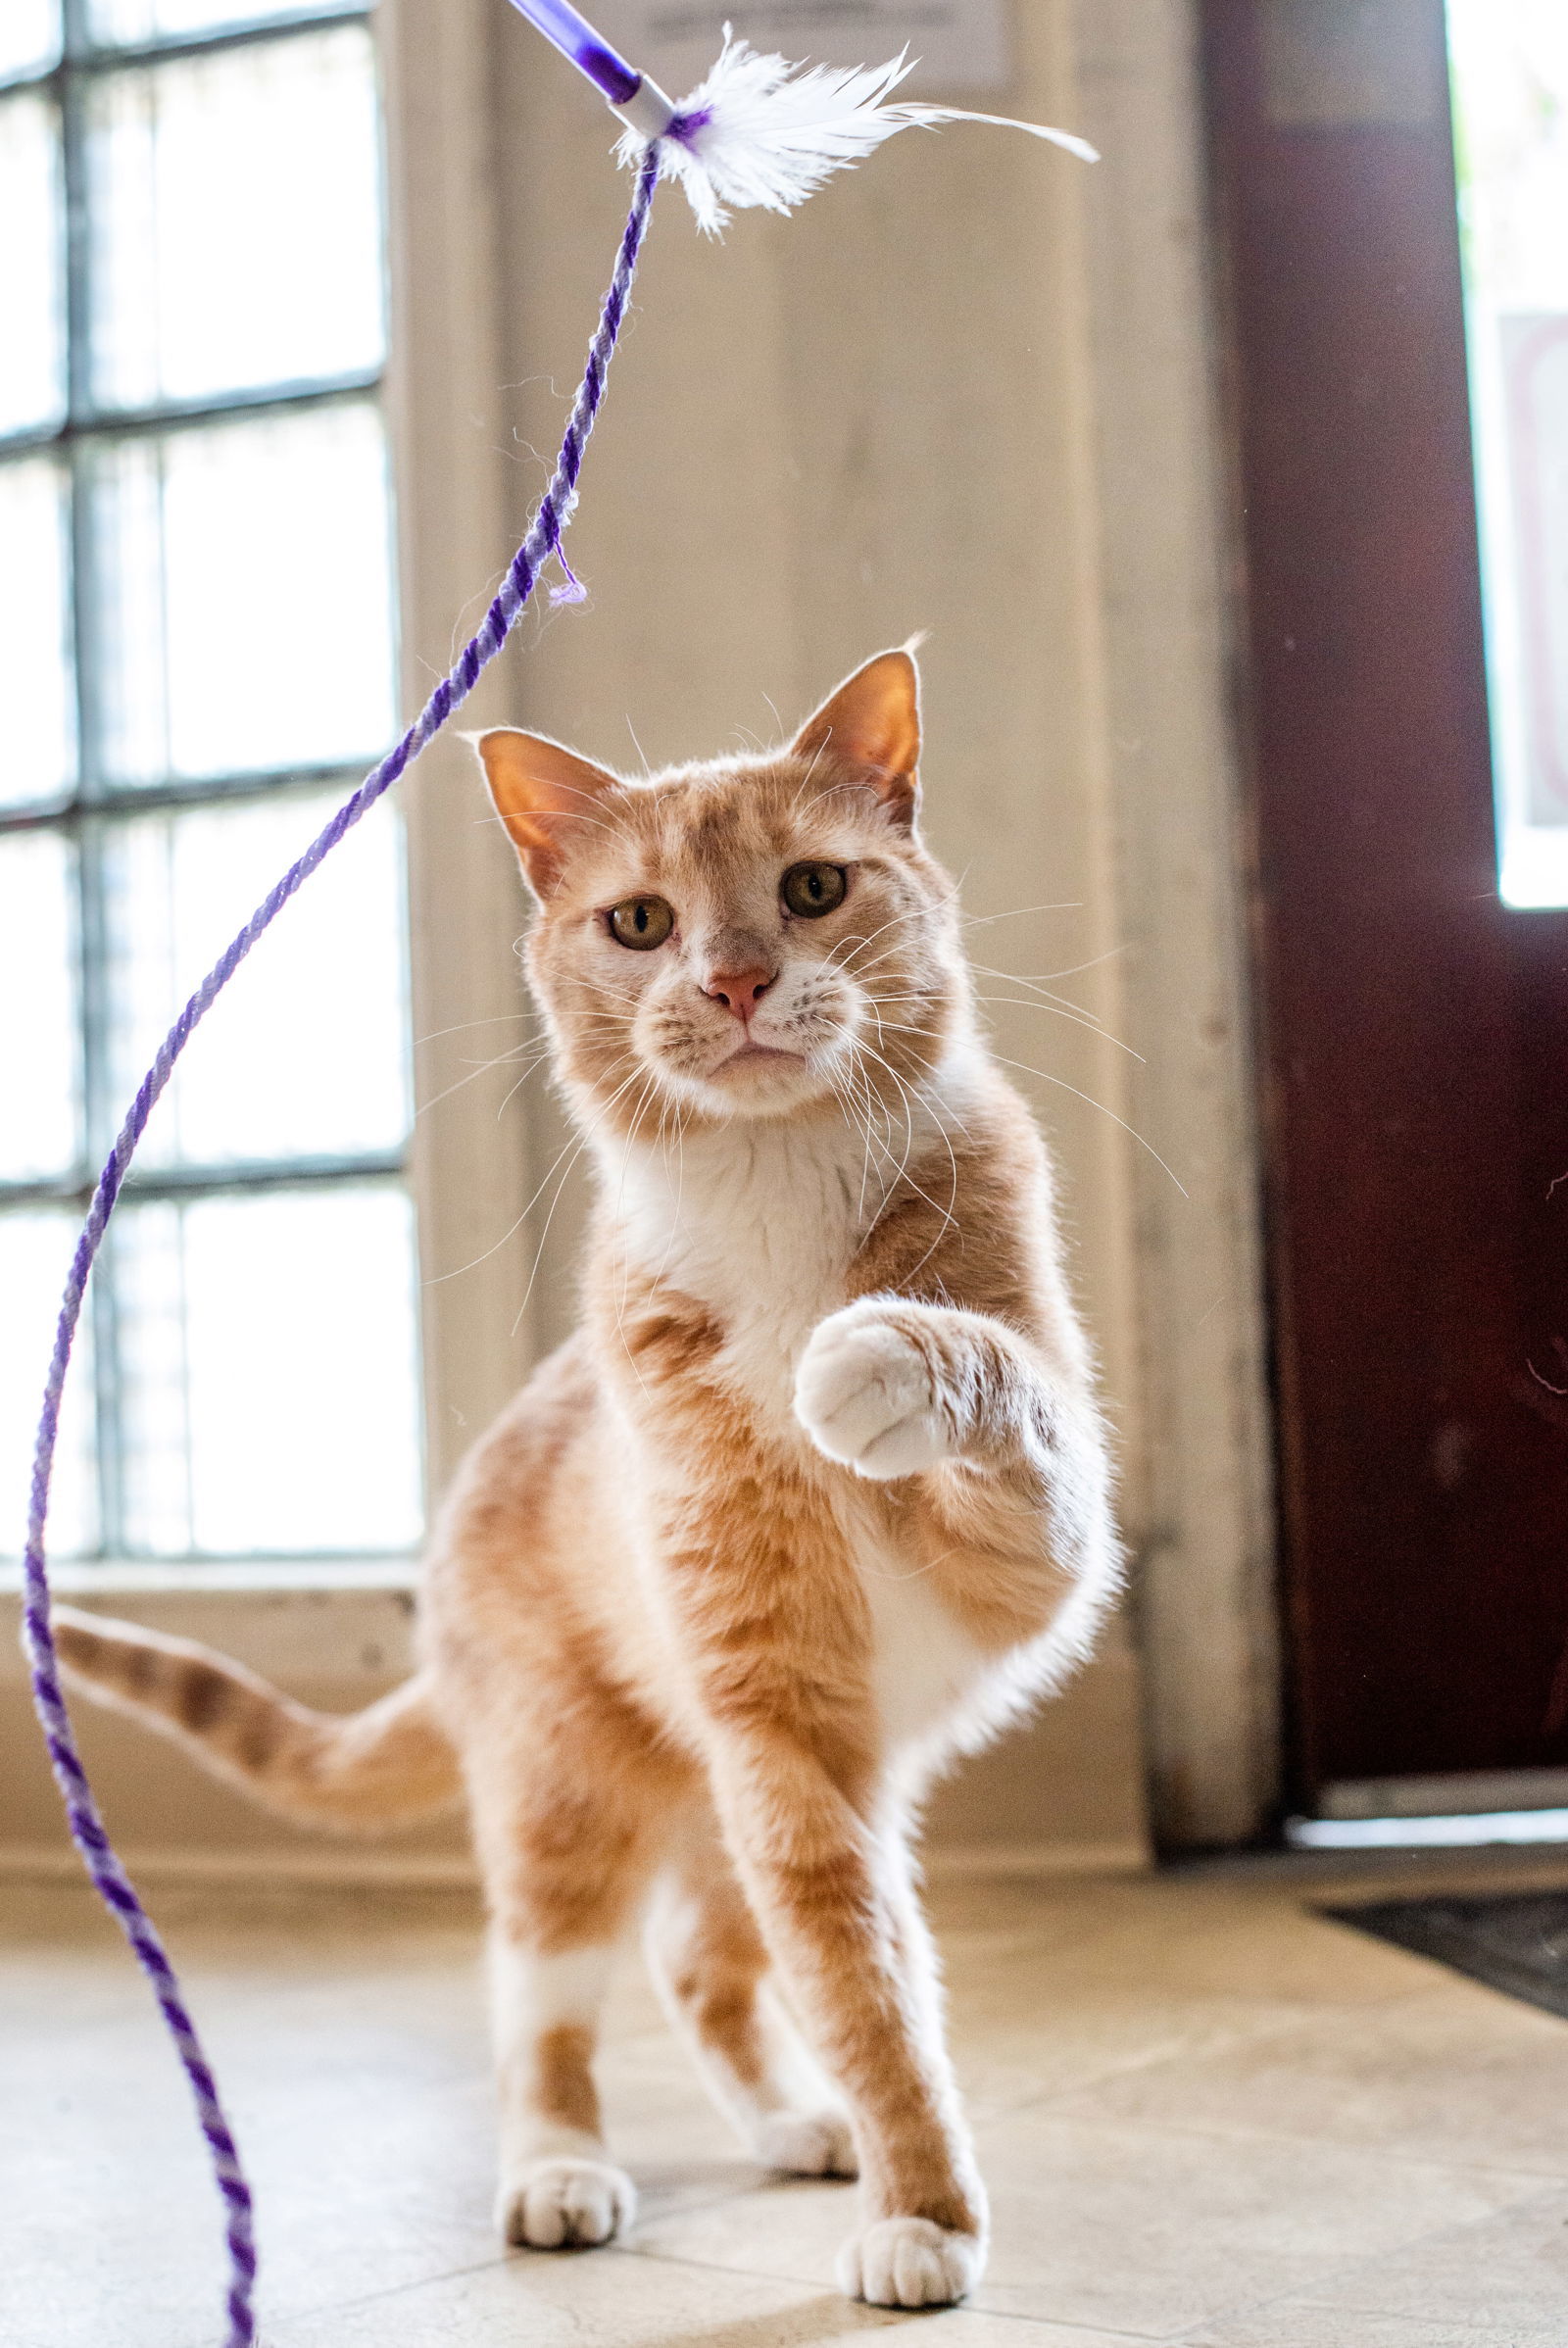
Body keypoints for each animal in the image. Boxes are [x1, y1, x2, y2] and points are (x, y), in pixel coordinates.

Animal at [55, 643, 1121, 2310]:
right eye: (640, 922)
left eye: (814, 887)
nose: (733, 981)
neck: (772, 1193)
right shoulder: (774, 1717)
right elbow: (860, 1974)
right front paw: (924, 2210)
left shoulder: (1036, 1549)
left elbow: (985, 1376)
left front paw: (875, 1358)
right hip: (567, 1792)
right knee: (542, 2000)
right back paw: (559, 2168)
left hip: (716, 1792)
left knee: (698, 1958)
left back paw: (796, 2125)